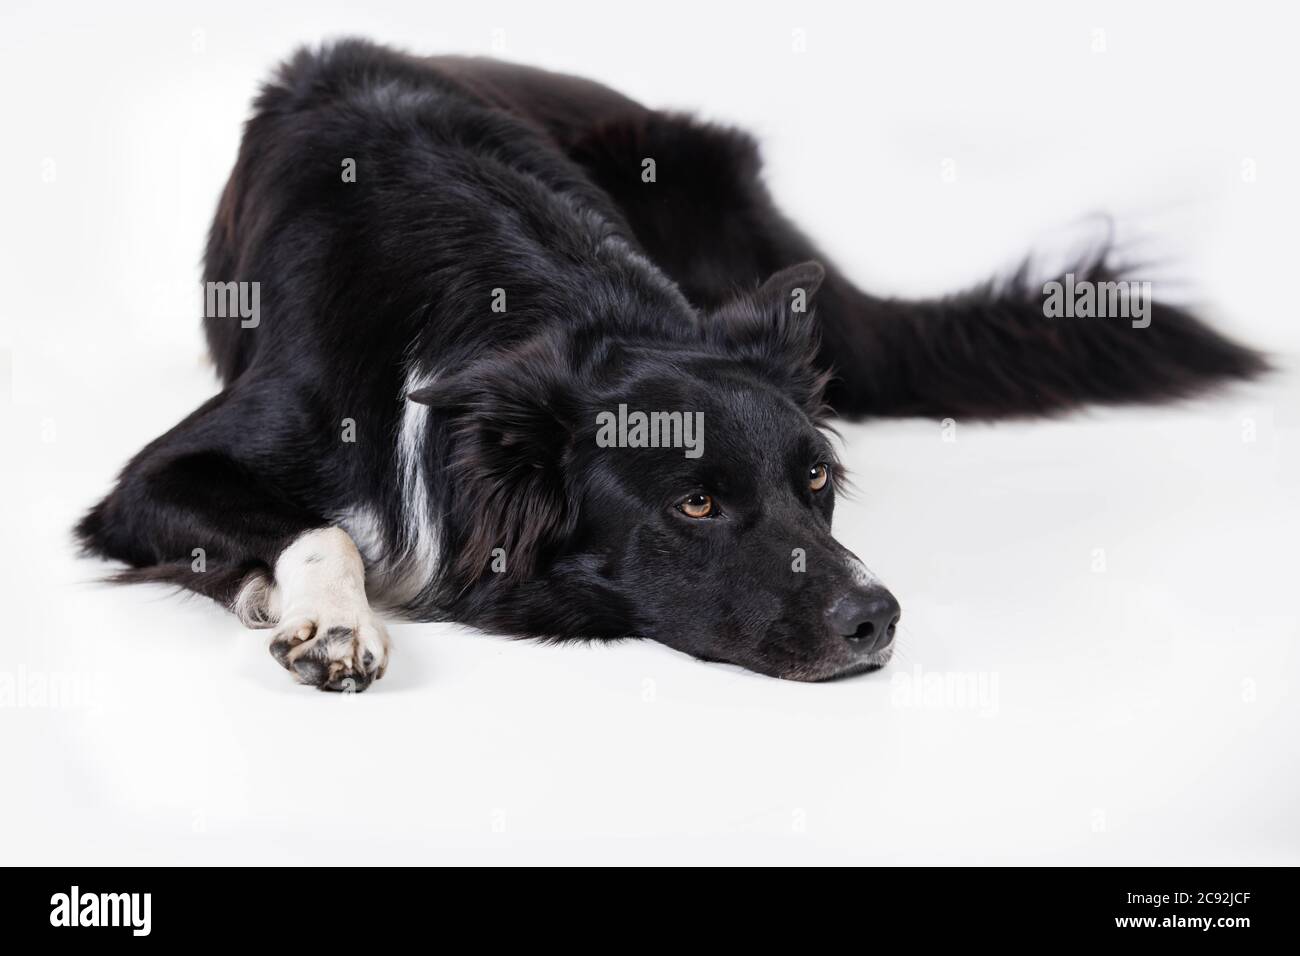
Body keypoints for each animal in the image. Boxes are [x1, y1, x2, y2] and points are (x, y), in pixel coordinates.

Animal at [76, 41, 1263, 691]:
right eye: (694, 503)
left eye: (816, 482)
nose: (877, 619)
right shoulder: (150, 479)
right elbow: (318, 523)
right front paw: (328, 619)